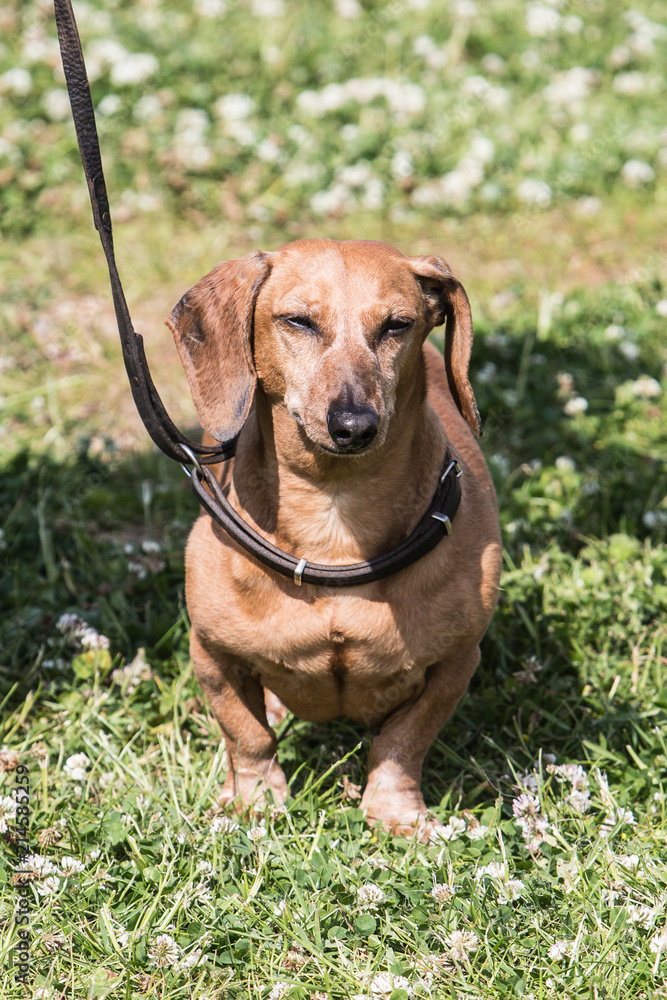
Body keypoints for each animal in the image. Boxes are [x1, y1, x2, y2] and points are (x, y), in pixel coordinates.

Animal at [167, 238, 500, 840]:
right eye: (298, 321)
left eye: (397, 325)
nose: (353, 425)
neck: (334, 515)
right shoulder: (210, 654)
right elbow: (247, 735)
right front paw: (256, 801)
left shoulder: (456, 662)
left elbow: (402, 743)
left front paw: (395, 812)